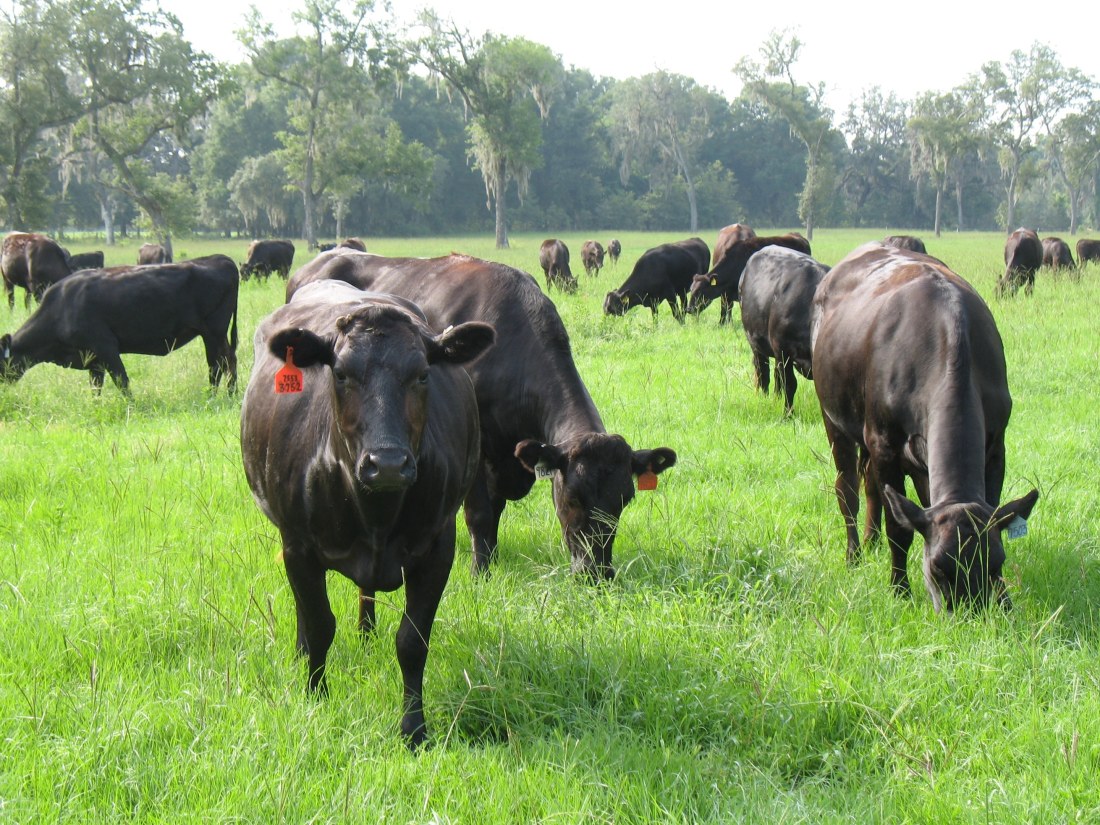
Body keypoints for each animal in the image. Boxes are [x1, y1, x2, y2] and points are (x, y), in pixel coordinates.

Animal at [0, 255, 239, 393]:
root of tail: (220, 259)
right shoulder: (93, 359)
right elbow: (96, 388)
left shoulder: (106, 347)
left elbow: (122, 381)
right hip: (213, 334)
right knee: (225, 361)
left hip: (213, 332)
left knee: (220, 363)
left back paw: (221, 394)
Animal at [246, 279, 499, 748]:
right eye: (341, 373)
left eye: (423, 374)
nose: (387, 464)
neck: (375, 513)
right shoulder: (298, 545)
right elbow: (320, 624)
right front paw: (316, 697)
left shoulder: (438, 546)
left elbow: (413, 641)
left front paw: (414, 728)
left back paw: (367, 634)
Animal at [286, 251, 677, 580]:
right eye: (572, 498)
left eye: (624, 501)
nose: (597, 574)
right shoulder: (475, 448)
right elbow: (480, 513)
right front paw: (480, 572)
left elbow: (496, 510)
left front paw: (492, 557)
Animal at [739, 245, 827, 413]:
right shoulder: (783, 350)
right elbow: (790, 384)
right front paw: (788, 413)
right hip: (755, 343)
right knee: (762, 372)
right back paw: (763, 397)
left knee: (775, 375)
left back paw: (776, 398)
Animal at [809, 242, 1038, 611]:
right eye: (938, 566)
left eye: (997, 561)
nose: (971, 613)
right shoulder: (884, 443)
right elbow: (899, 528)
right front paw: (899, 590)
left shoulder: (996, 446)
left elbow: (992, 506)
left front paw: (1004, 597)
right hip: (834, 418)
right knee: (848, 489)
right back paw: (855, 554)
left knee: (873, 486)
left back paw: (871, 541)